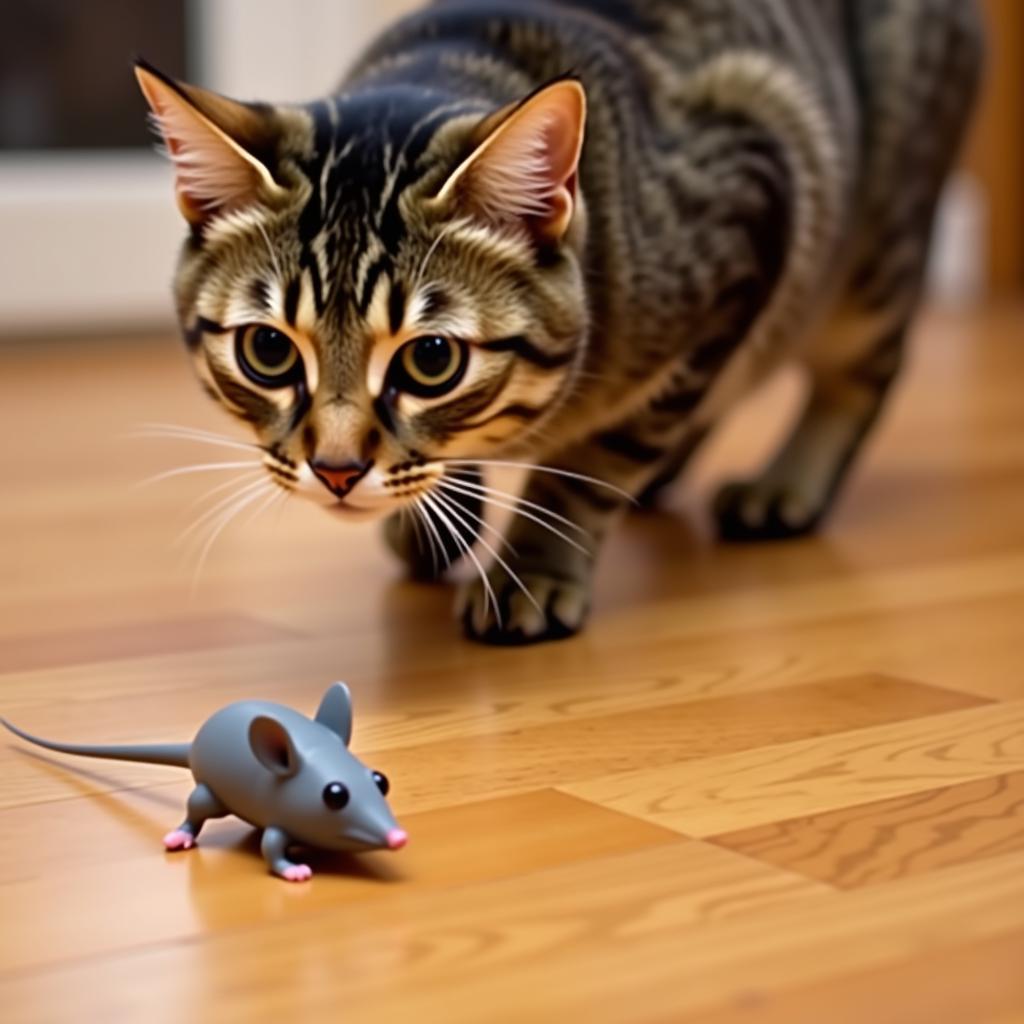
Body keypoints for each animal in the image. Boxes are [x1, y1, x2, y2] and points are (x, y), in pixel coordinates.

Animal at [136, 2, 983, 638]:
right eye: (269, 351)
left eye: (430, 360)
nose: (337, 471)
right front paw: (442, 519)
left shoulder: (756, 204)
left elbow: (594, 461)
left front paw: (534, 564)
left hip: (872, 253)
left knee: (861, 373)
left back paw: (784, 486)